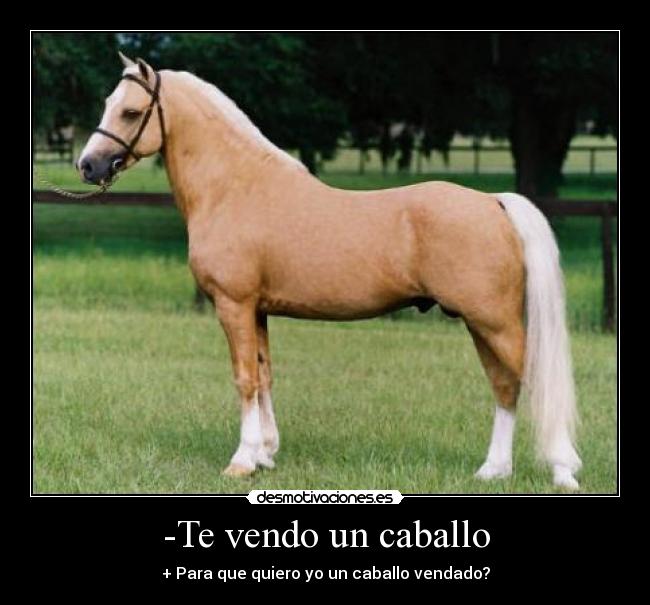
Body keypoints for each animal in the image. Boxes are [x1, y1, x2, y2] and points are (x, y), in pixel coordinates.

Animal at [77, 52, 582, 489]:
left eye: (131, 112)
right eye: (107, 104)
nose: (88, 165)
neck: (235, 188)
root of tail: (493, 202)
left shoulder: (233, 304)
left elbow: (244, 378)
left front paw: (242, 461)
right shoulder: (258, 309)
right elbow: (264, 375)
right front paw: (265, 454)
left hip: (494, 321)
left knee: (531, 380)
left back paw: (563, 471)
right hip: (481, 323)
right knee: (504, 385)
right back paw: (493, 471)